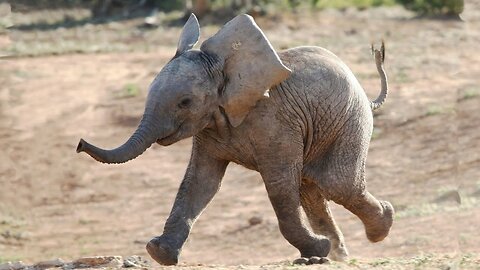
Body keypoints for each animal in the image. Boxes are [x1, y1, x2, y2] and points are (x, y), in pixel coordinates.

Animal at [77, 13, 394, 264]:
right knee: (312, 189)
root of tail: (366, 95)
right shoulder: (209, 128)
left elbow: (279, 186)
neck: (224, 69)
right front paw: (159, 253)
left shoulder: (275, 123)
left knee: (336, 183)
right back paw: (337, 254)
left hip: (350, 120)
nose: (79, 144)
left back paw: (380, 226)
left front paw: (317, 250)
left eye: (185, 102)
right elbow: (200, 182)